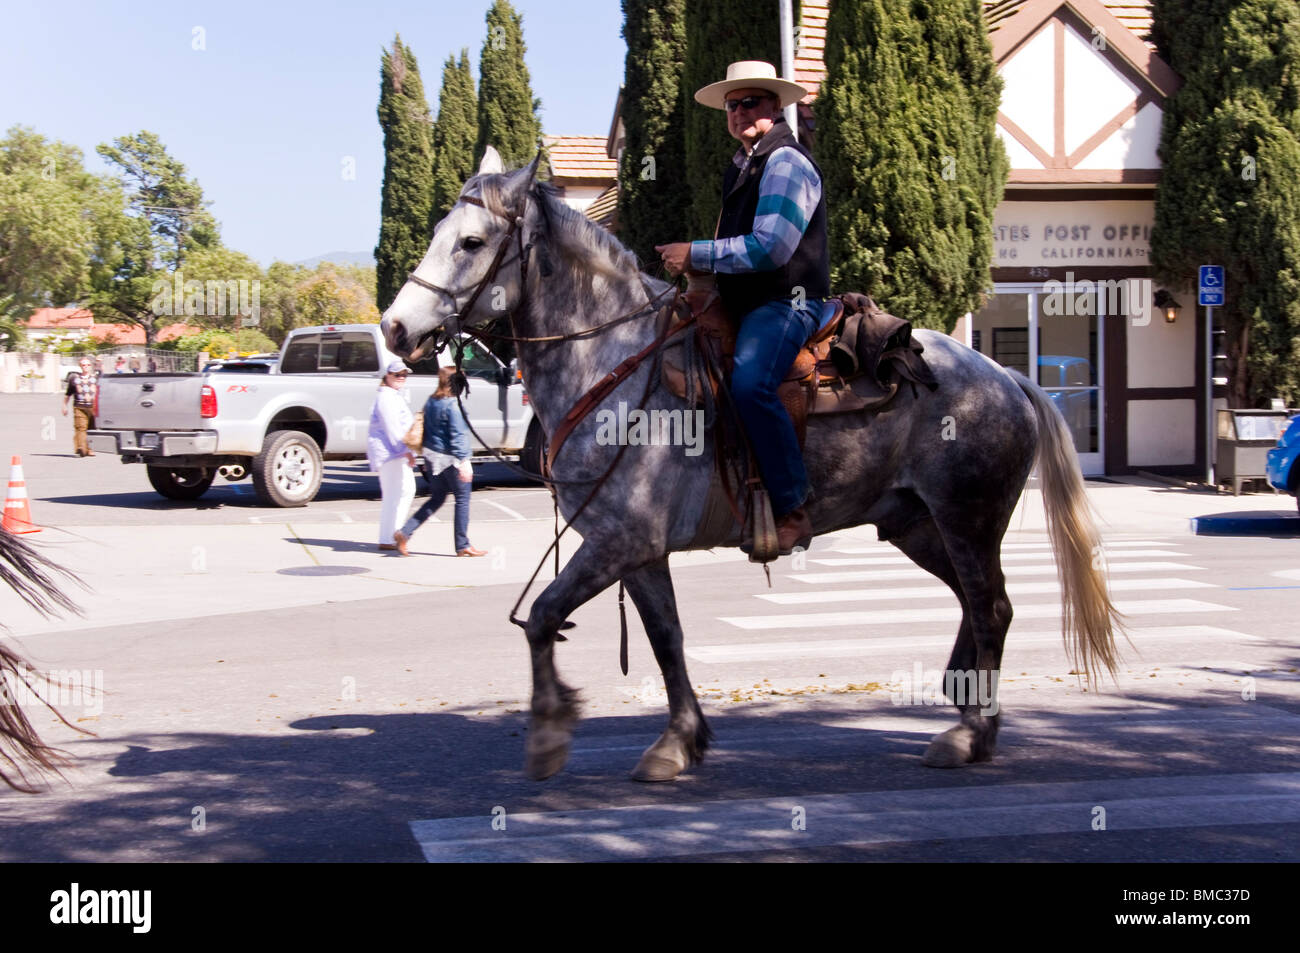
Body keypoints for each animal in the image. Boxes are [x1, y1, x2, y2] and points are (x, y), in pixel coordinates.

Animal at [379, 146, 1123, 774]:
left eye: (472, 242)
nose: (394, 327)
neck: (612, 362)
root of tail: (1008, 378)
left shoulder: (620, 540)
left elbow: (541, 617)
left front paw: (549, 734)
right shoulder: (639, 551)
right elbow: (667, 638)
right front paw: (680, 740)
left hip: (967, 519)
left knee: (991, 607)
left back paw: (972, 733)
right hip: (917, 525)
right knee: (979, 604)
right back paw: (964, 705)